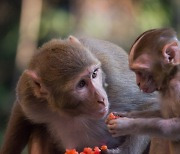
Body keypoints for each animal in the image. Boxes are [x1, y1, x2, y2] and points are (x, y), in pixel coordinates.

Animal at [0, 36, 158, 154]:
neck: (74, 112)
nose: (101, 99)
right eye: (81, 84)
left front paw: (122, 152)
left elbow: (152, 104)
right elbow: (21, 110)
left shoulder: (117, 85)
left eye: (94, 74)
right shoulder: (28, 94)